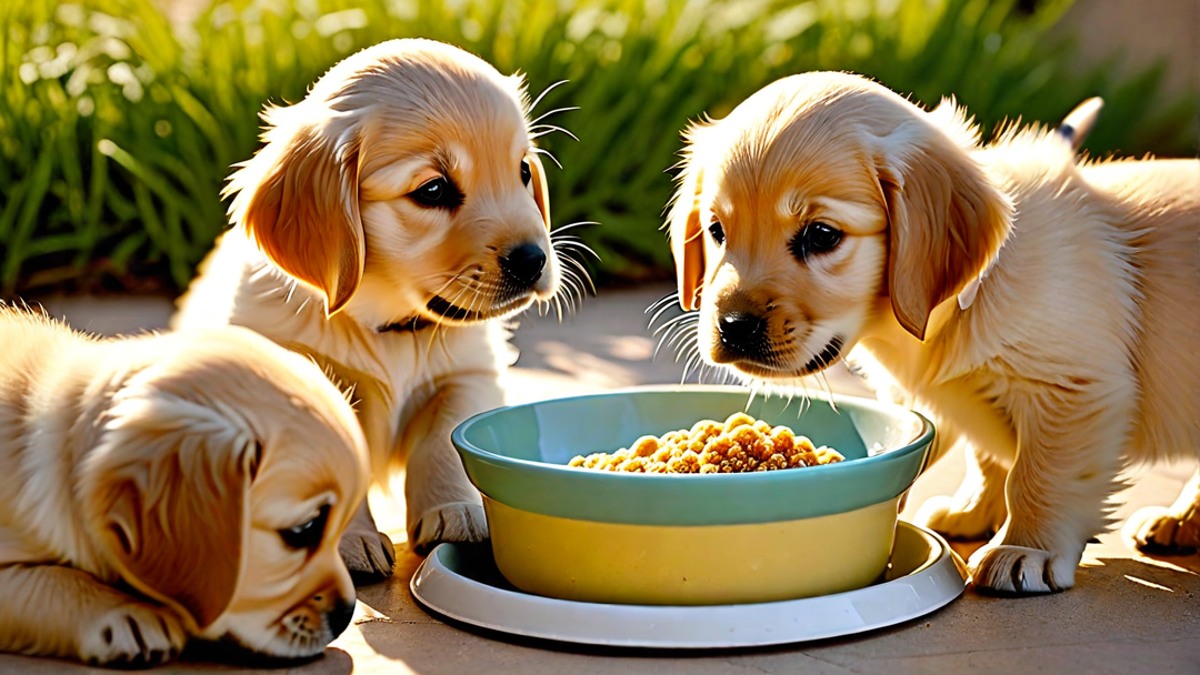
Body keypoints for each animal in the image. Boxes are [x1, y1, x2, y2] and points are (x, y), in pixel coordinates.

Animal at [171, 38, 564, 571]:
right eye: (433, 189)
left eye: (522, 170)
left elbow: (442, 442)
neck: (386, 326)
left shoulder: (468, 373)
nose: (532, 260)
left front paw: (455, 511)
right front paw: (349, 542)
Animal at [667, 70, 1200, 590]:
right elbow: (987, 458)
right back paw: (1182, 520)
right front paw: (972, 511)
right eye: (716, 230)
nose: (734, 327)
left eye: (821, 235)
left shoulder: (1072, 388)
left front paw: (1025, 549)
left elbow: (1038, 473)